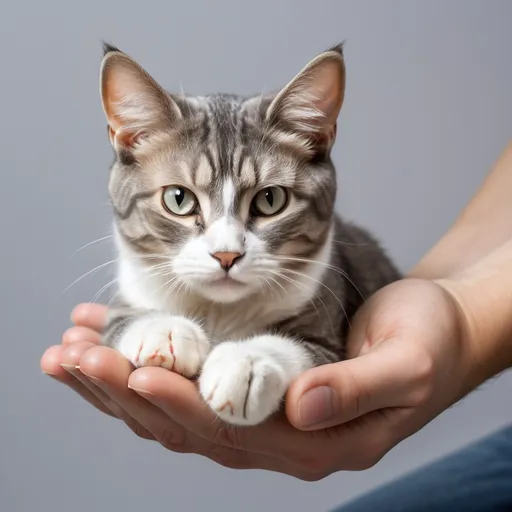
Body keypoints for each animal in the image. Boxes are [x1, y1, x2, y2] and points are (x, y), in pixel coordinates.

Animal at [100, 43, 402, 428]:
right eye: (178, 199)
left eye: (270, 199)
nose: (226, 255)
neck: (221, 312)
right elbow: (121, 320)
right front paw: (164, 330)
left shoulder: (333, 335)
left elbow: (301, 348)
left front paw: (244, 364)